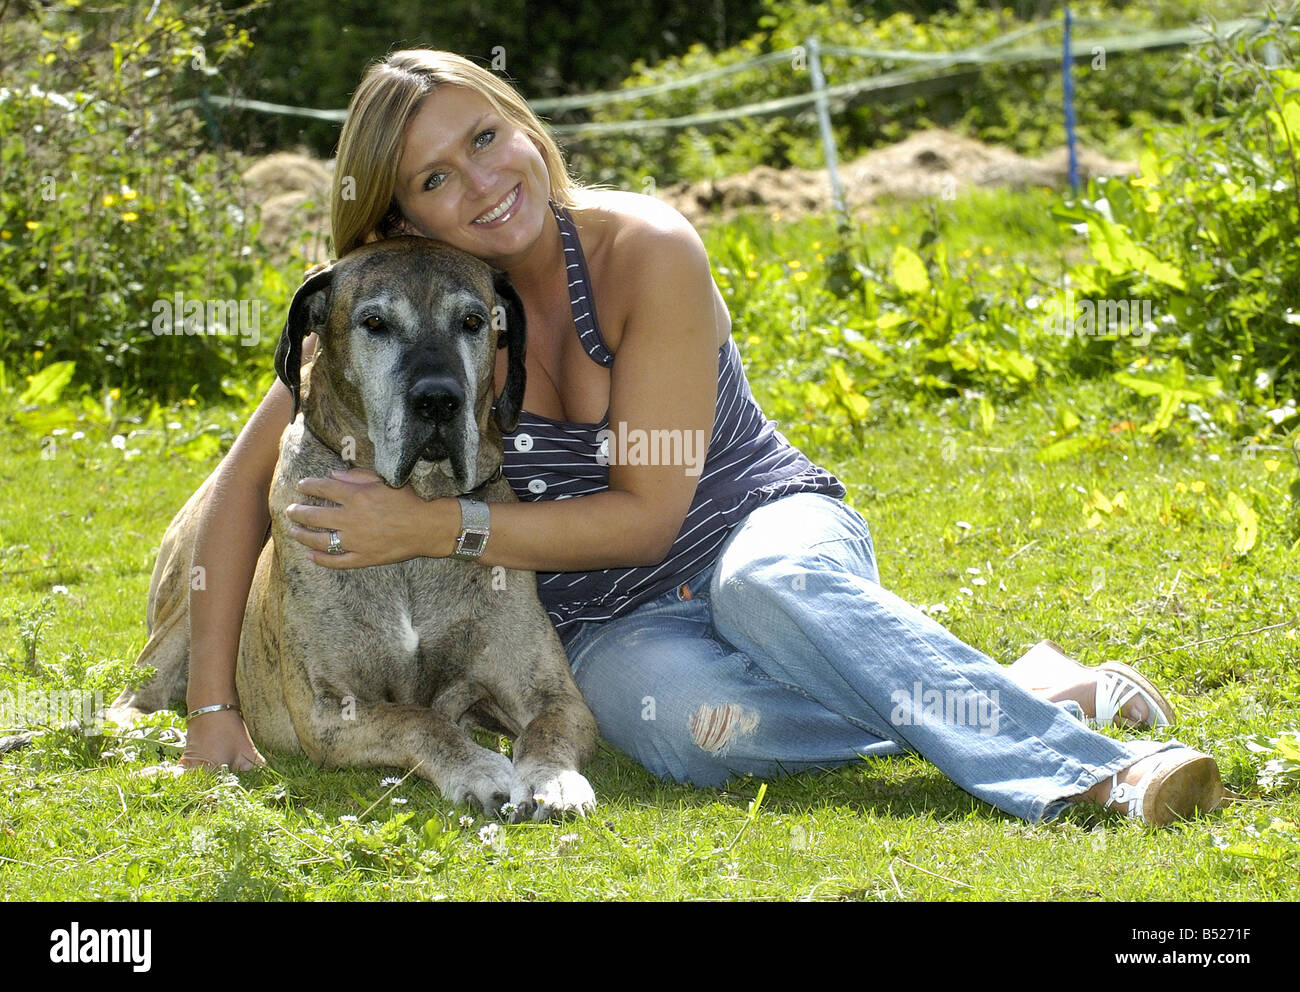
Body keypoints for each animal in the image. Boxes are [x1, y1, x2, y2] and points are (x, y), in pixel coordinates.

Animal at [111, 236, 598, 816]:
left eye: (473, 321)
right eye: (375, 323)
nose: (438, 399)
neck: (417, 505)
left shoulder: (550, 689)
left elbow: (547, 725)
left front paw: (554, 779)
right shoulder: (327, 709)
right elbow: (416, 719)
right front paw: (479, 767)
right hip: (187, 606)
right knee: (131, 698)